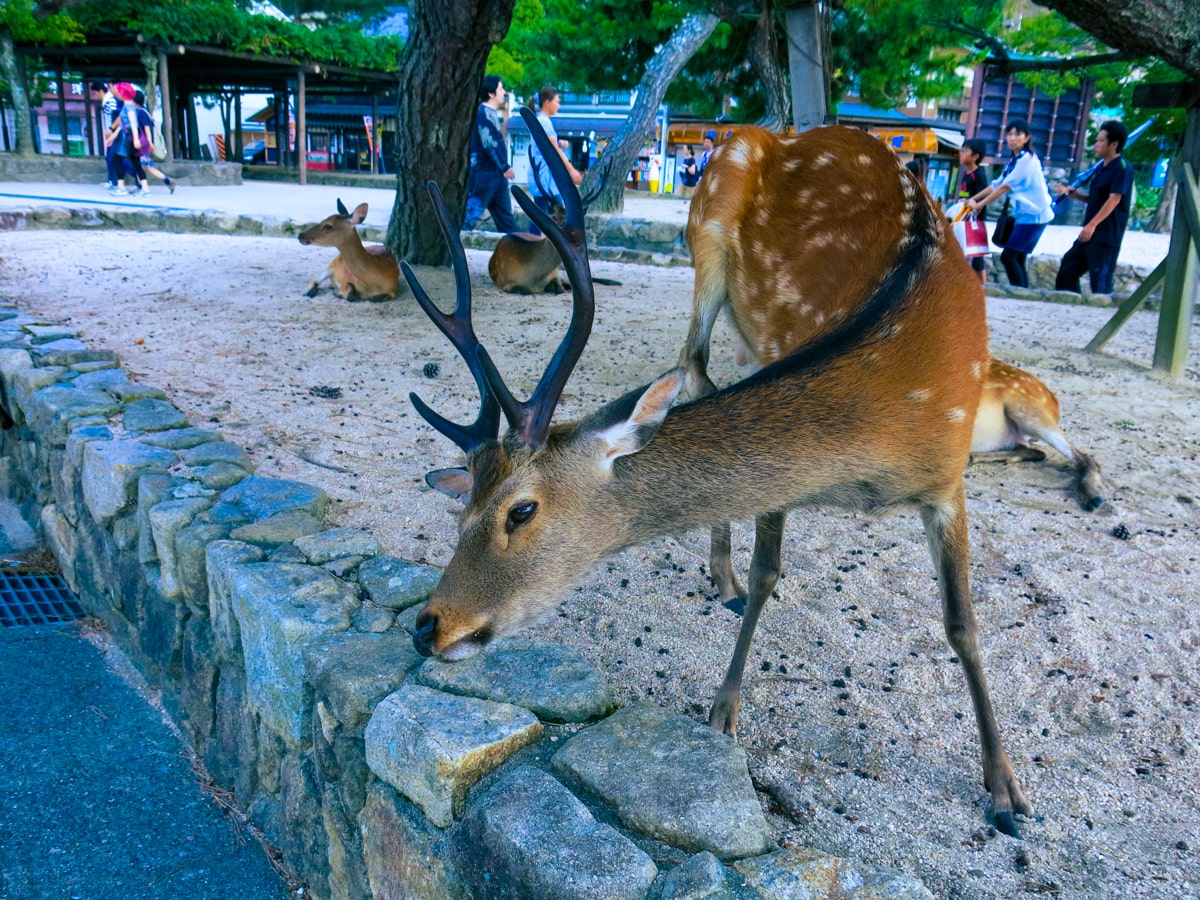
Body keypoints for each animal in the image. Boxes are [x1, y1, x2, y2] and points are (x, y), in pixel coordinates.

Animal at [403, 112, 1032, 840]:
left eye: (521, 510)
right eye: (462, 512)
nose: (429, 625)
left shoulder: (950, 477)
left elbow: (963, 624)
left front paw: (1006, 790)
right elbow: (767, 573)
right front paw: (724, 709)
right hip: (707, 235)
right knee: (694, 362)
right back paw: (720, 571)